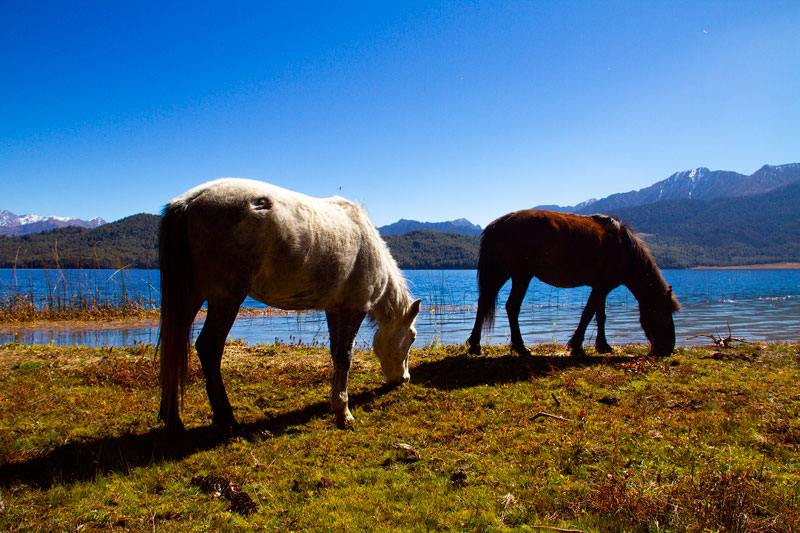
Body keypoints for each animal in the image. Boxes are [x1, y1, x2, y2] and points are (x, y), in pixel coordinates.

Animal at [159, 177, 422, 434]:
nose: (404, 379)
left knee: (174, 342)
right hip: (226, 298)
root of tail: (190, 200)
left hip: (191, 296)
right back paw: (226, 418)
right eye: (412, 338)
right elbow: (345, 356)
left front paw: (334, 403)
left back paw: (172, 420)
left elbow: (335, 354)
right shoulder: (353, 308)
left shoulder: (334, 309)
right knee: (208, 348)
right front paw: (343, 412)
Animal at [468, 210, 680, 356]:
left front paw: (603, 345)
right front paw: (576, 345)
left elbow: (600, 316)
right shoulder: (601, 287)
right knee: (512, 307)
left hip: (501, 273)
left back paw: (475, 345)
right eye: (664, 312)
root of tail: (500, 223)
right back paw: (520, 347)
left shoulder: (602, 288)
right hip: (521, 275)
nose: (668, 349)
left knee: (483, 303)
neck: (624, 249)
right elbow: (588, 314)